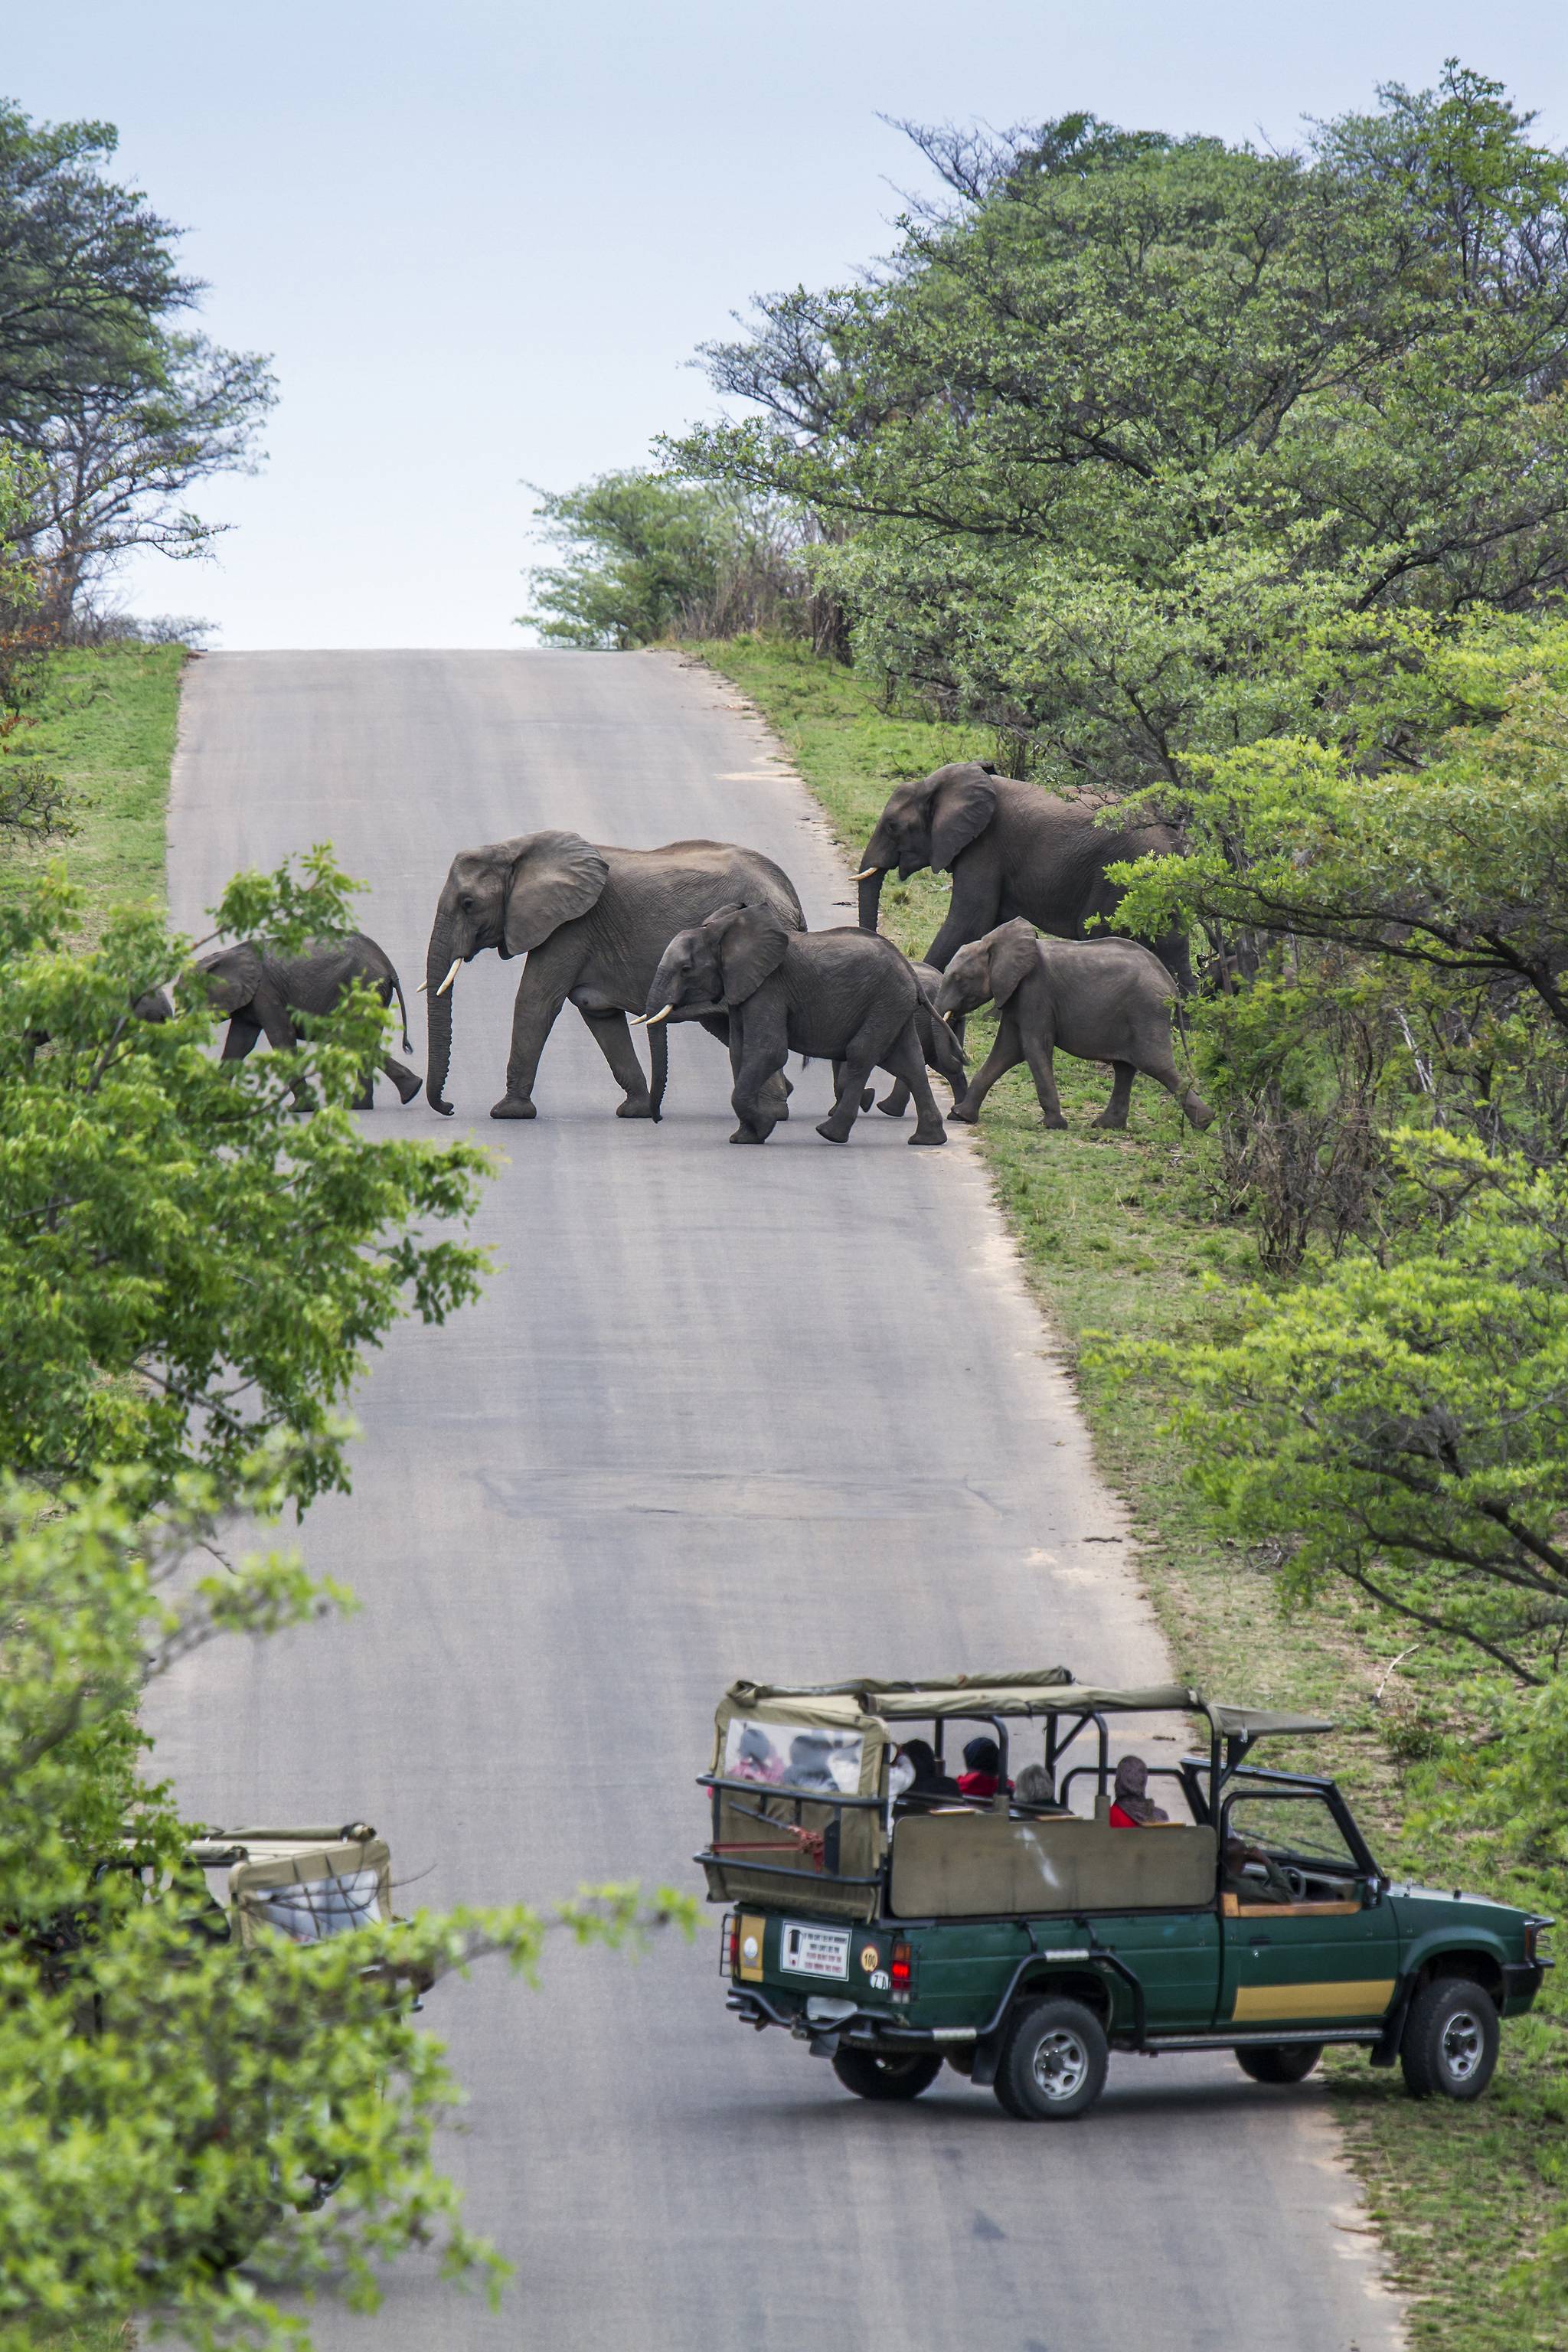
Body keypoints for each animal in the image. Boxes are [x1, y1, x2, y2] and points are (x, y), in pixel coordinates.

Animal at [196, 926, 423, 1109]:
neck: (227, 954)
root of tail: (388, 965)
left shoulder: (265, 991)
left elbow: (281, 1037)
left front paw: (299, 1109)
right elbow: (238, 1045)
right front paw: (211, 1104)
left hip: (364, 987)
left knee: (353, 1037)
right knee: (361, 1040)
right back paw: (385, 1098)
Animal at [423, 828, 804, 1119]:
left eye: (468, 904)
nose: (450, 1107)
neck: (514, 849)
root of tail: (789, 894)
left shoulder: (570, 927)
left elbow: (536, 1002)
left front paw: (507, 1113)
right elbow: (599, 1014)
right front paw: (635, 1111)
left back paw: (773, 1111)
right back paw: (781, 1097)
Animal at [639, 907, 959, 1148]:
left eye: (685, 970)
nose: (657, 1119)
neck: (720, 932)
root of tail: (909, 970)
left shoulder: (769, 988)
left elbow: (769, 1051)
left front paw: (764, 1127)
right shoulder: (743, 990)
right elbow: (739, 1052)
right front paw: (746, 1137)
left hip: (884, 1001)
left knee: (861, 1055)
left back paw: (830, 1134)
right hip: (893, 1007)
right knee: (908, 1062)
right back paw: (927, 1140)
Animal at [860, 766, 1189, 988]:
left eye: (892, 826)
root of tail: (1171, 835)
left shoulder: (985, 847)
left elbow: (970, 919)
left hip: (1117, 880)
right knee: (1175, 948)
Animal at [930, 912, 1213, 1133]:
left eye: (959, 979)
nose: (963, 1056)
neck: (995, 943)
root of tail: (1171, 986)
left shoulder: (1035, 993)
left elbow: (1033, 1048)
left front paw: (1052, 1125)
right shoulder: (1015, 996)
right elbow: (1006, 1051)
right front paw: (960, 1116)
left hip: (1146, 1012)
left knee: (1155, 1065)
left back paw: (1205, 1123)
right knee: (1125, 1068)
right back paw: (1106, 1126)